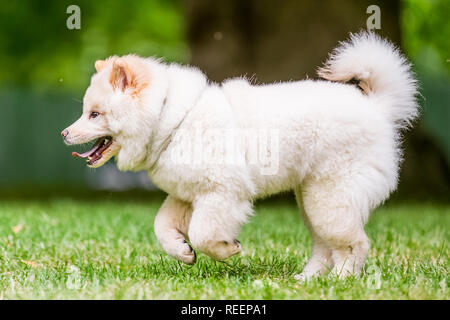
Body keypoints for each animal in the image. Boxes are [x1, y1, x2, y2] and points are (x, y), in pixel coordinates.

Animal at [62, 31, 418, 278]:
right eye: (85, 112)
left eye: (94, 114)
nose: (64, 133)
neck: (171, 120)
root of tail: (378, 108)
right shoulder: (187, 195)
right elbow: (162, 226)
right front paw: (182, 252)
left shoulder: (222, 193)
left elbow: (203, 233)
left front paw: (225, 249)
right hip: (312, 202)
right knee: (325, 248)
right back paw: (308, 280)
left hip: (330, 199)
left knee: (353, 245)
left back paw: (341, 281)